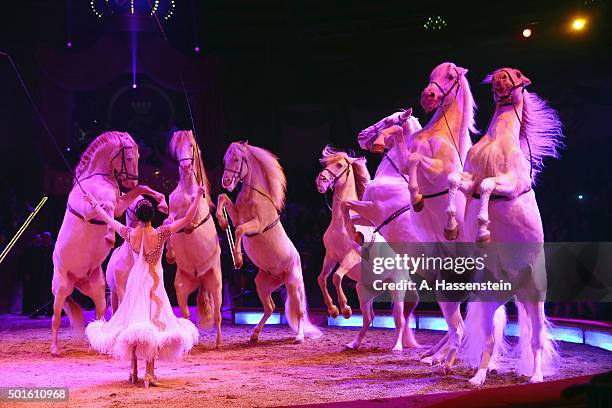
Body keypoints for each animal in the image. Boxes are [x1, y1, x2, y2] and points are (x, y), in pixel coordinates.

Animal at [51, 132, 166, 356]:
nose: (130, 182)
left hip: (97, 290)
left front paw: (163, 202)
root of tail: (77, 281)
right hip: (61, 289)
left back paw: (95, 346)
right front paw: (110, 237)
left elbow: (140, 190)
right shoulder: (90, 210)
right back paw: (54, 348)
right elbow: (106, 206)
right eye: (129, 157)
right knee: (56, 317)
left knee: (99, 315)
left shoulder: (120, 202)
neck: (96, 179)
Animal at [166, 130, 224, 348]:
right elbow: (168, 222)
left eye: (191, 146)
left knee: (217, 315)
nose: (185, 166)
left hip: (216, 284)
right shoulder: (173, 214)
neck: (188, 190)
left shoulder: (195, 217)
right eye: (177, 147)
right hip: (182, 288)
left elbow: (189, 223)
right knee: (186, 315)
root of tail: (200, 278)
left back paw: (219, 343)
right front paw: (170, 255)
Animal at [215, 142, 320, 342]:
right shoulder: (237, 216)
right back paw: (254, 335)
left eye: (237, 159)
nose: (226, 181)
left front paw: (238, 260)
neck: (254, 196)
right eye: (224, 159)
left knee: (300, 311)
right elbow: (222, 198)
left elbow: (239, 230)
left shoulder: (256, 224)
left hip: (293, 285)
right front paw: (222, 222)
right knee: (270, 307)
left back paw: (299, 336)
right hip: (263, 284)